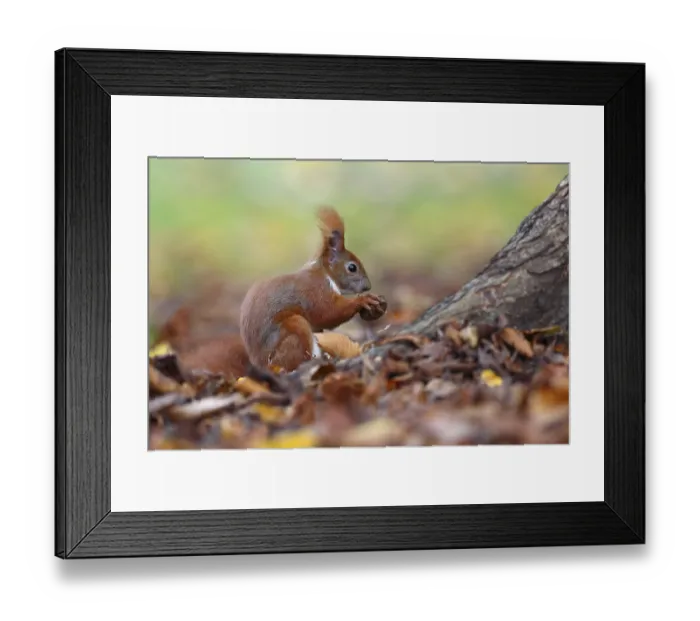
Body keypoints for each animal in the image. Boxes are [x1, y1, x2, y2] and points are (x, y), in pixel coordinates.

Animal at [240, 206, 386, 372]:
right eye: (352, 267)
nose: (368, 286)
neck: (325, 274)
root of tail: (263, 365)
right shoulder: (316, 291)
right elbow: (328, 313)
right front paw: (363, 300)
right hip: (294, 330)